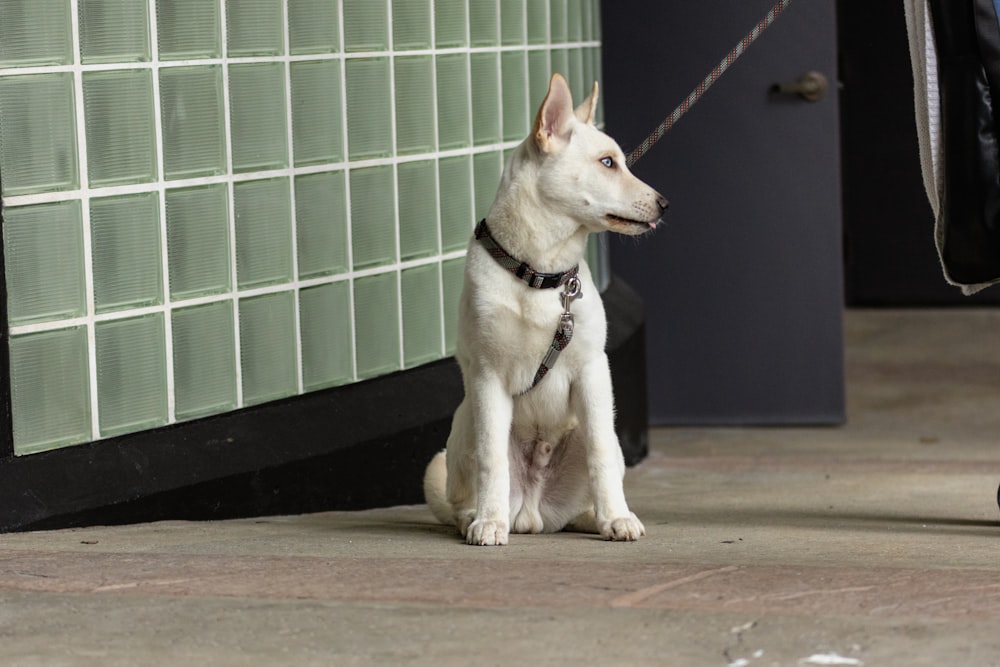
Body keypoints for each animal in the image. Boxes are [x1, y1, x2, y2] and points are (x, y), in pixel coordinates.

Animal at [422, 73, 664, 544]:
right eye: (608, 163)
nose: (665, 204)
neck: (540, 273)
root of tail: (533, 512)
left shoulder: (592, 371)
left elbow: (600, 452)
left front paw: (617, 517)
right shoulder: (488, 378)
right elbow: (491, 459)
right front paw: (488, 522)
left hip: (591, 430)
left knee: (597, 465)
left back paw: (598, 516)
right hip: (465, 420)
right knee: (463, 492)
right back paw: (478, 516)